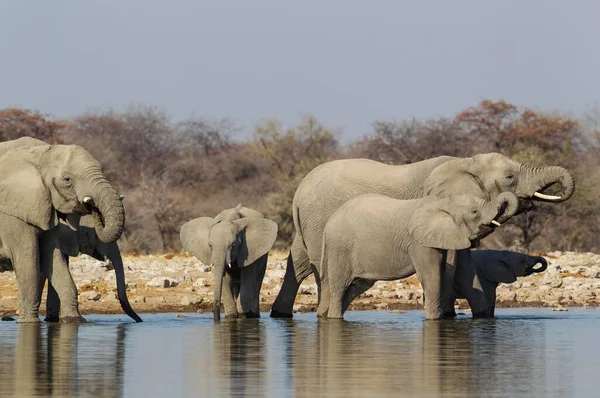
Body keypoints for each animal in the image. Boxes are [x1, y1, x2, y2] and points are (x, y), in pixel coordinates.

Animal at [0, 137, 141, 324]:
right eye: (67, 179)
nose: (92, 204)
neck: (40, 153)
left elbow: (52, 258)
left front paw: (73, 320)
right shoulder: (11, 211)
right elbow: (28, 260)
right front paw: (29, 323)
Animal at [316, 191, 516, 318]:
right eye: (474, 212)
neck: (442, 202)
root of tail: (328, 225)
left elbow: (459, 275)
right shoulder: (419, 243)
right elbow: (431, 276)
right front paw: (434, 320)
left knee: (354, 288)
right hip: (340, 248)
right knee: (339, 287)